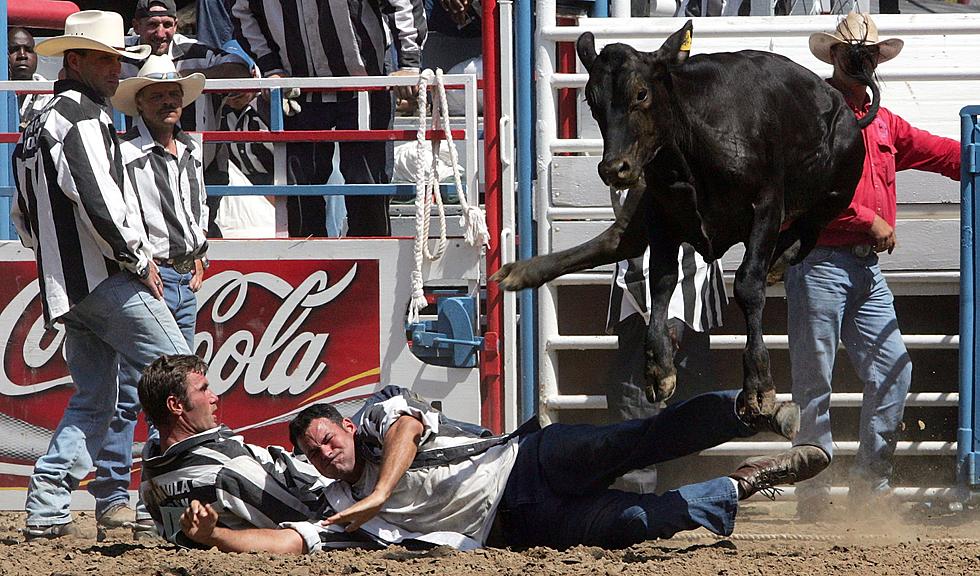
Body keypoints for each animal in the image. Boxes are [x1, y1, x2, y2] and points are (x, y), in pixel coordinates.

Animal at [494, 22, 876, 416]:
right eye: (591, 100)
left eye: (641, 93)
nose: (614, 168)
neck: (692, 148)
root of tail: (846, 109)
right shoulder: (662, 216)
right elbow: (661, 282)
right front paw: (657, 369)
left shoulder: (767, 206)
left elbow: (747, 285)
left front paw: (758, 384)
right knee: (615, 240)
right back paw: (520, 271)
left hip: (835, 188)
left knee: (809, 229)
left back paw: (777, 262)